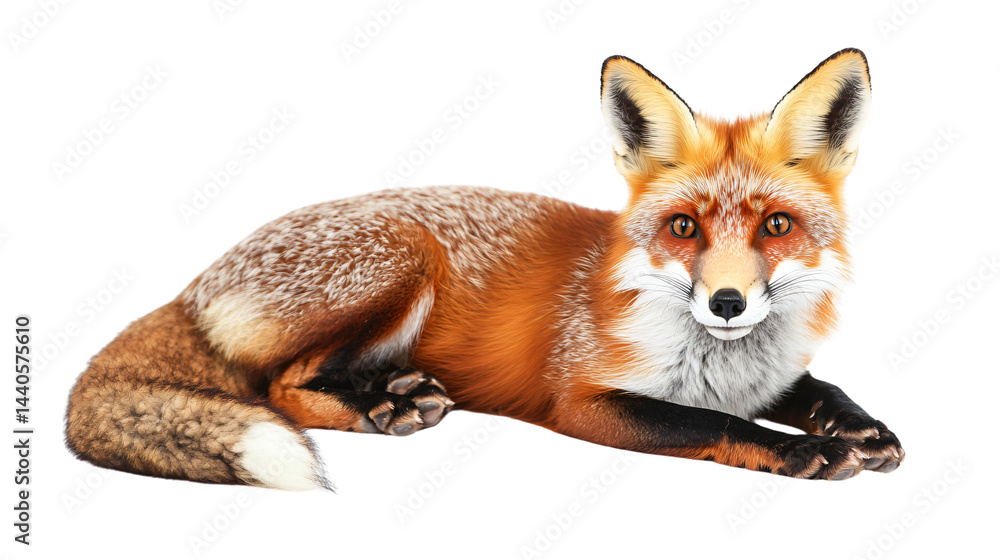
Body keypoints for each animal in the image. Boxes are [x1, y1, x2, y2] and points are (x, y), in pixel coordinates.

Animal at [66, 48, 904, 490]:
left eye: (777, 226)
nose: (727, 302)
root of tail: (193, 284)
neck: (718, 359)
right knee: (279, 386)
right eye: (684, 227)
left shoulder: (771, 372)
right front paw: (799, 449)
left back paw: (394, 390)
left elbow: (816, 388)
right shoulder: (583, 400)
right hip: (400, 261)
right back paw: (382, 408)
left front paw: (860, 428)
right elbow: (715, 423)